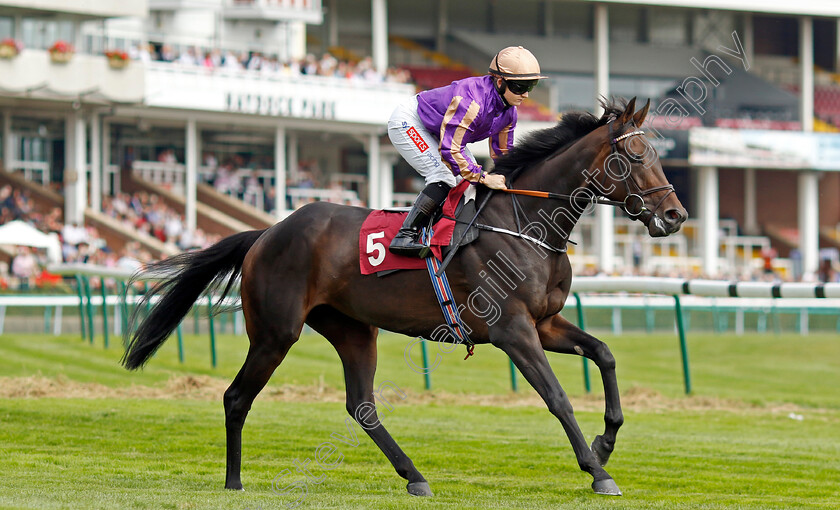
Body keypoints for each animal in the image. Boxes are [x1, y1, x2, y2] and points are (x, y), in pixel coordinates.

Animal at [126, 98, 688, 498]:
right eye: (634, 156)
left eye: (658, 155)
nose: (676, 216)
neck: (525, 224)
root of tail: (266, 232)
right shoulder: (512, 330)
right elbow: (557, 397)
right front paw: (596, 471)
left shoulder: (545, 323)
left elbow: (605, 354)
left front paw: (605, 443)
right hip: (276, 331)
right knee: (236, 396)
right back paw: (234, 481)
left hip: (353, 329)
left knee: (361, 405)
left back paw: (414, 475)